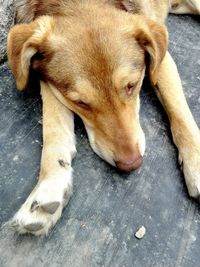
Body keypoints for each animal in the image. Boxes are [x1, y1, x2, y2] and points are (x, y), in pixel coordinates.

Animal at [6, 0, 200, 236]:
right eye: (81, 103)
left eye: (131, 86)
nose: (131, 165)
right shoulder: (49, 81)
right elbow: (53, 127)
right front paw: (50, 185)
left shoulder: (161, 61)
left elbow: (179, 110)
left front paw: (196, 164)